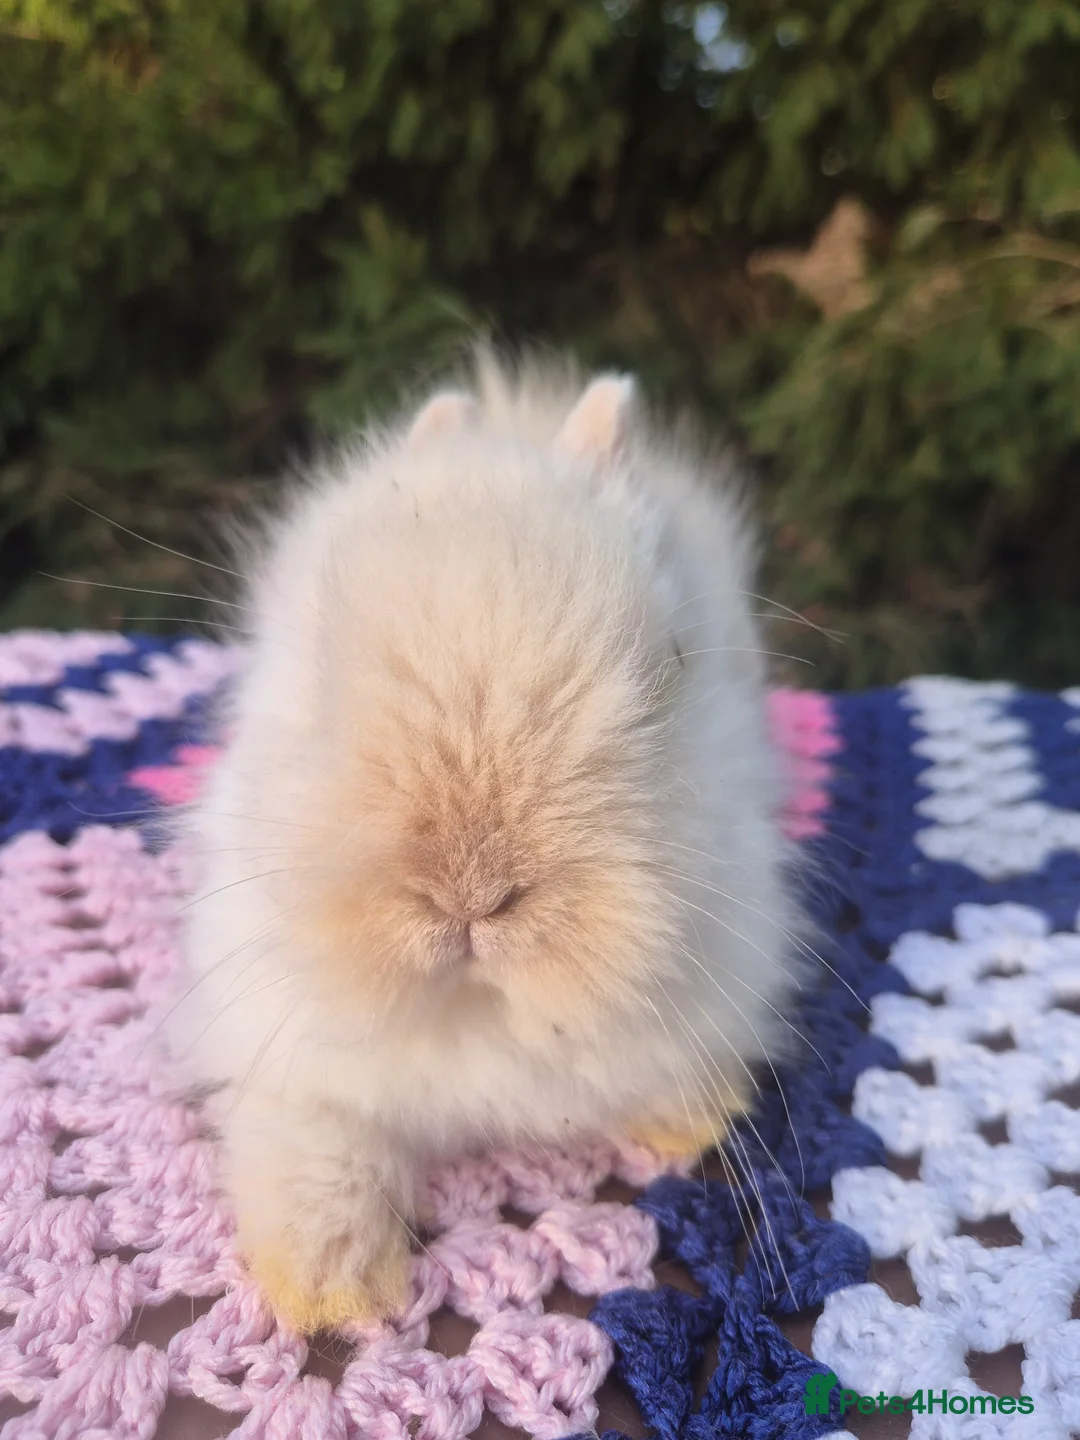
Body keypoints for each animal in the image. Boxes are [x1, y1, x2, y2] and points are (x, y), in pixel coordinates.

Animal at [166, 350, 804, 1334]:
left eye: (671, 665)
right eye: (318, 667)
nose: (471, 895)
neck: (479, 1013)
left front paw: (686, 1121)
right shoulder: (284, 1055)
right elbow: (320, 1151)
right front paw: (332, 1289)